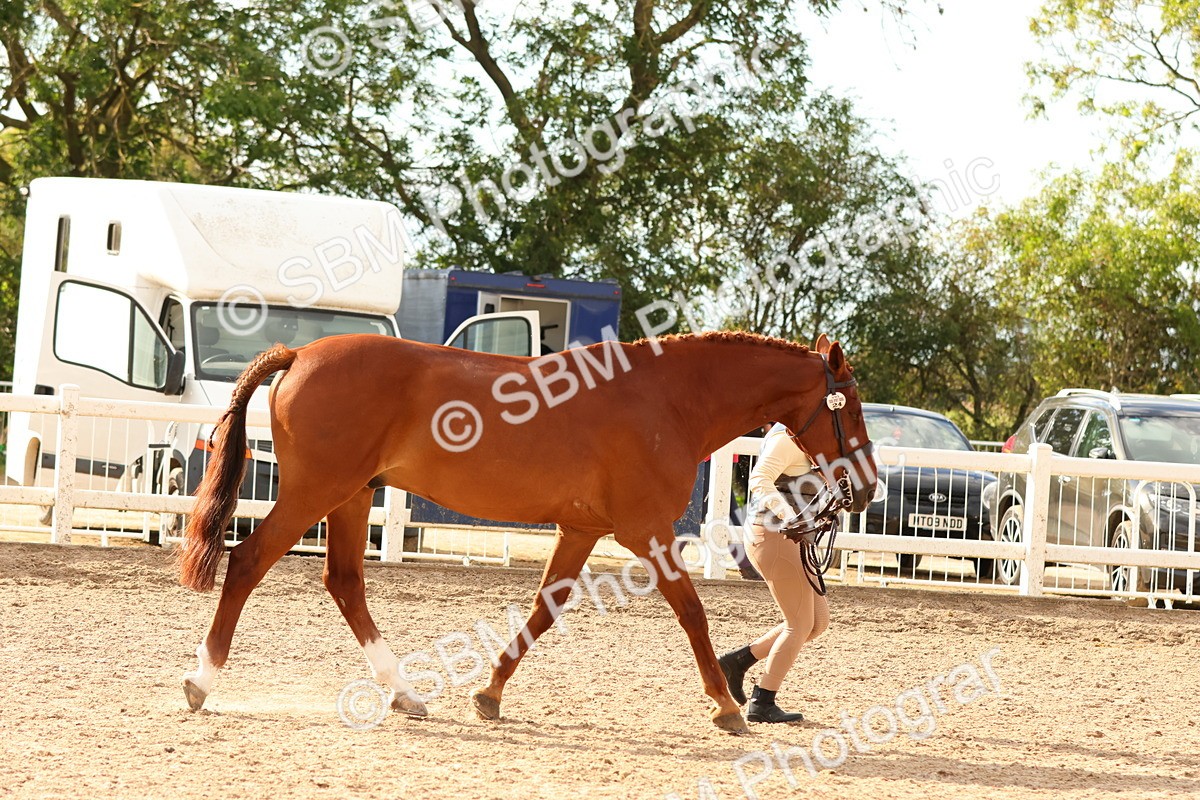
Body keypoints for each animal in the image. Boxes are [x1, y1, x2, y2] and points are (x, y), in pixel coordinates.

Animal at [178, 330, 877, 734]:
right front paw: (727, 707)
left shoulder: (581, 529)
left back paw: (406, 695)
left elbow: (544, 610)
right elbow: (693, 614)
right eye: (847, 404)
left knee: (345, 582)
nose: (866, 487)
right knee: (248, 562)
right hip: (315, 492)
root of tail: (300, 353)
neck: (668, 399)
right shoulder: (646, 534)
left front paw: (488, 694)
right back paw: (200, 683)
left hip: (352, 496)